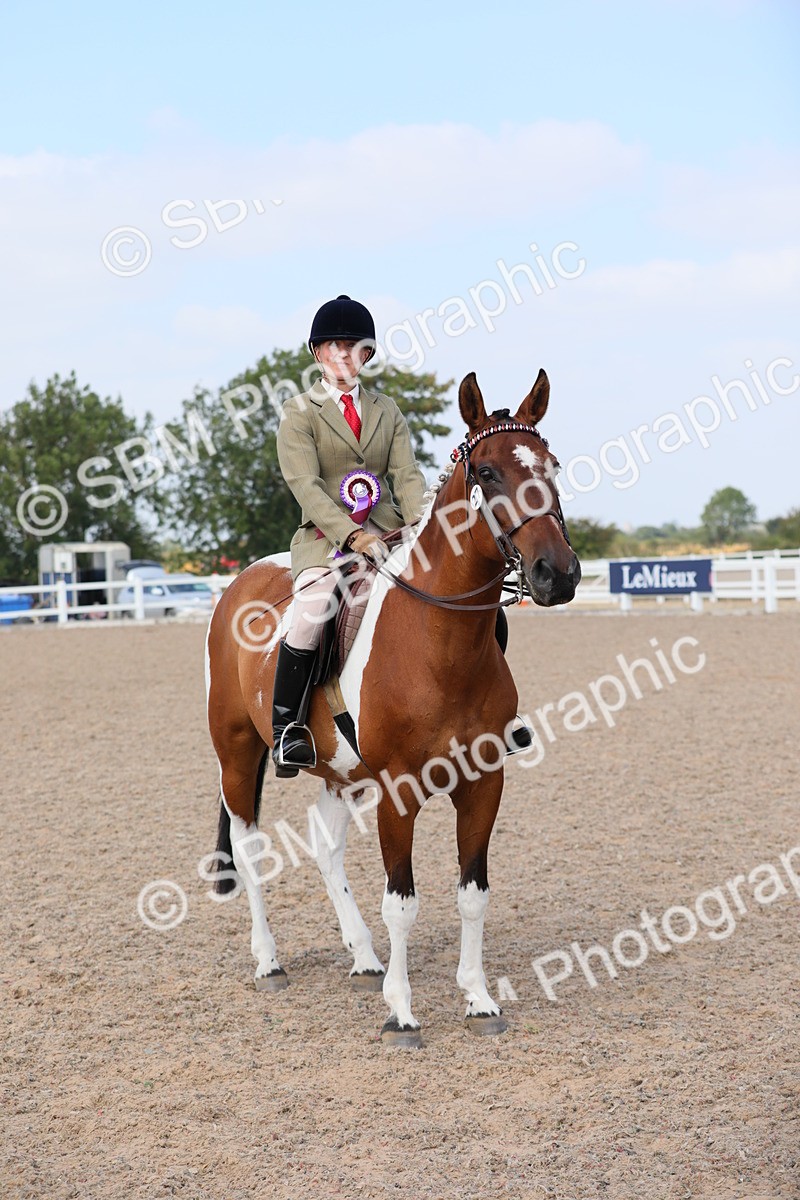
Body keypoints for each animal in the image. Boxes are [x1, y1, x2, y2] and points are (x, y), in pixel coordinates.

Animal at [205, 370, 580, 1047]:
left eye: (551, 465)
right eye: (487, 471)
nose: (556, 574)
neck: (440, 642)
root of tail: (242, 580)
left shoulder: (484, 784)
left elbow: (473, 893)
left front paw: (479, 999)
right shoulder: (398, 792)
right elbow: (401, 902)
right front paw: (402, 1013)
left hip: (338, 768)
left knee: (325, 846)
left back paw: (362, 956)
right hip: (238, 753)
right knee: (248, 847)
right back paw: (269, 961)